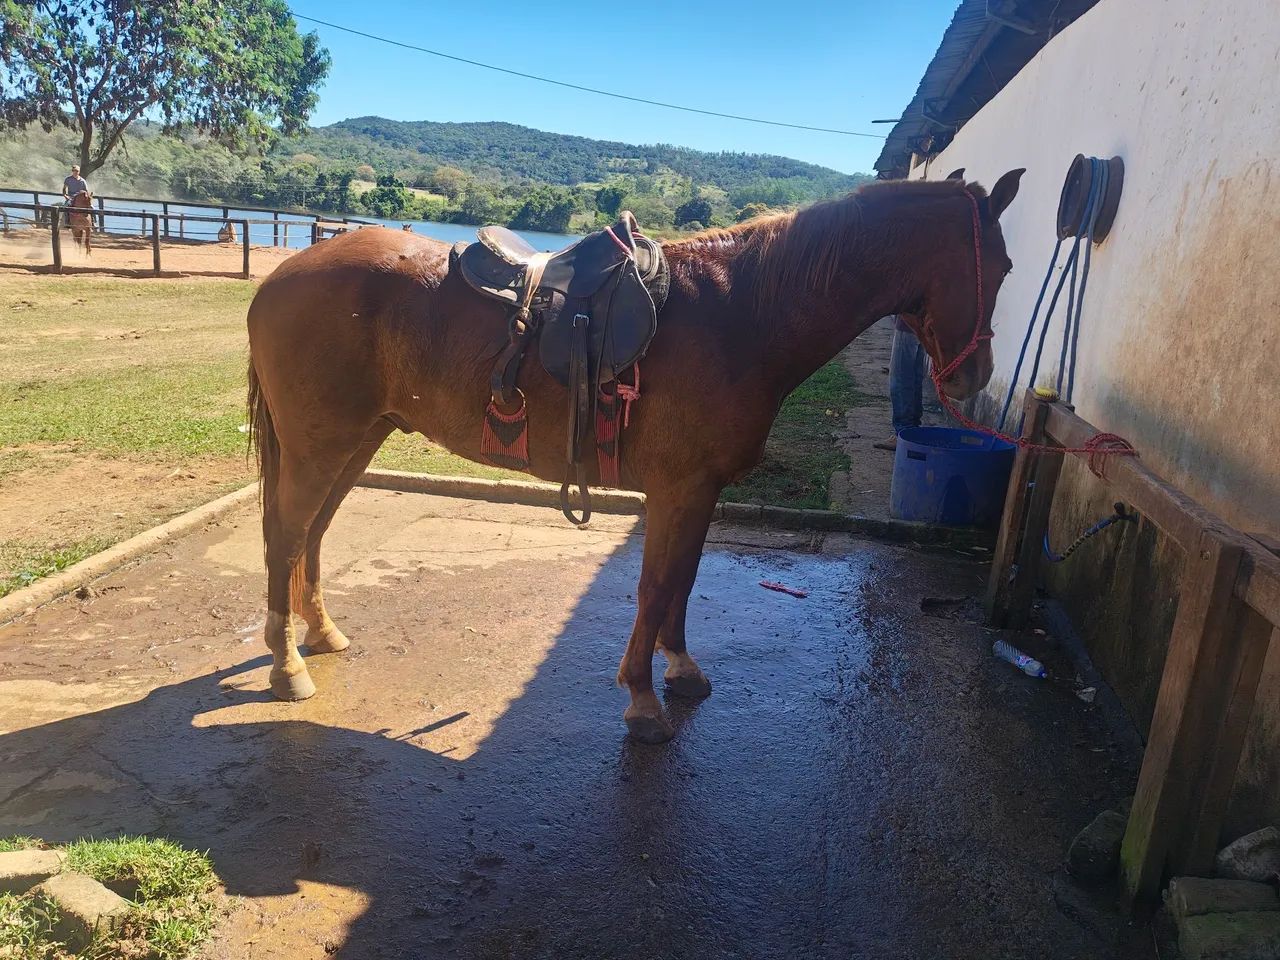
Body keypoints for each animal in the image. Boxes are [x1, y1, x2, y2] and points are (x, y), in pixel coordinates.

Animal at [246, 170, 1025, 743]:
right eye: (997, 264)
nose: (972, 379)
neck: (740, 314)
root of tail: (284, 273)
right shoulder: (676, 488)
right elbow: (654, 588)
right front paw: (644, 703)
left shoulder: (701, 491)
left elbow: (682, 581)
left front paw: (679, 669)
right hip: (321, 445)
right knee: (285, 536)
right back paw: (287, 667)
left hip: (357, 440)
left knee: (311, 535)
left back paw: (322, 633)